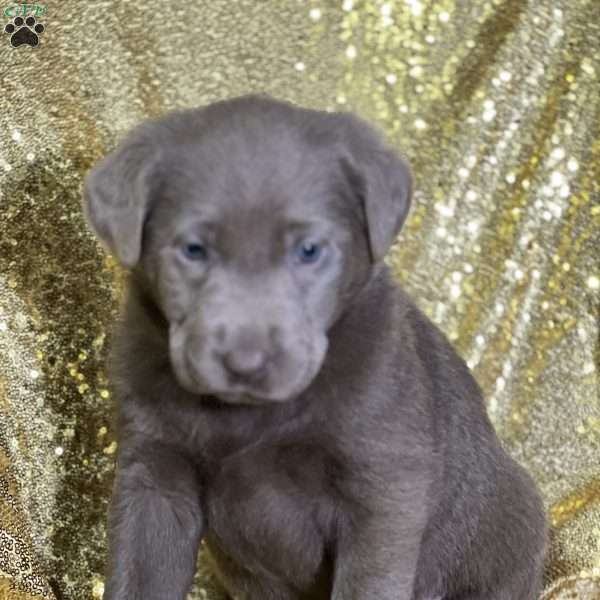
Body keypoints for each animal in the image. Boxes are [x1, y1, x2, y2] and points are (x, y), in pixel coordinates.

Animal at [83, 94, 548, 600]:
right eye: (193, 250)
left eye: (309, 250)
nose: (245, 362)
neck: (246, 417)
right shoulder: (153, 476)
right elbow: (139, 577)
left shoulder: (385, 489)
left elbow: (368, 583)